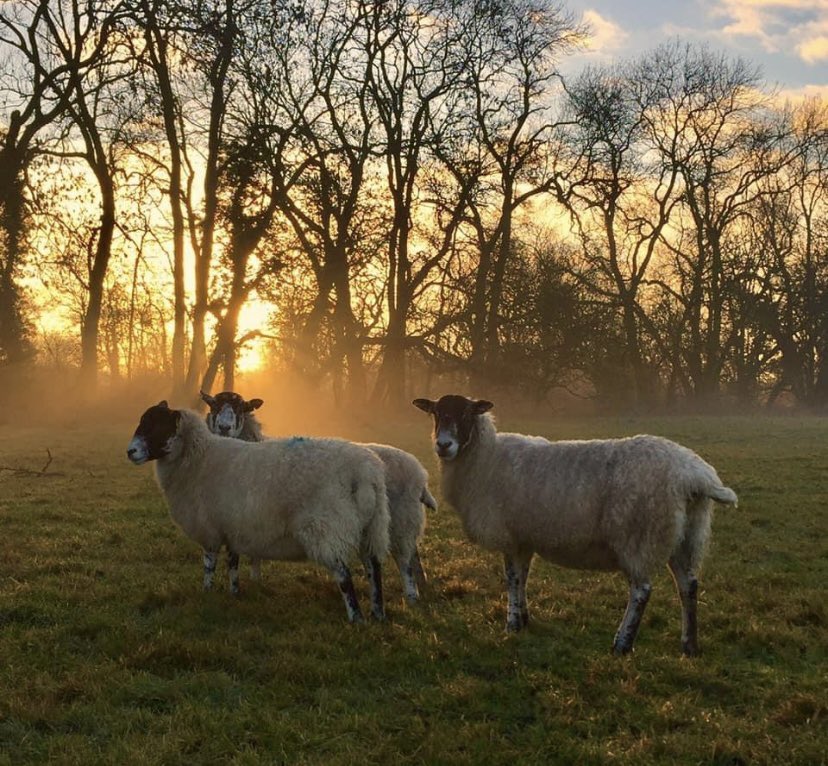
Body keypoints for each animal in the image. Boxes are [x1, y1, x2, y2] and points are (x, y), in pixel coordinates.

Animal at [126, 401, 390, 623]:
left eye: (158, 425)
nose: (130, 452)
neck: (198, 458)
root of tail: (367, 472)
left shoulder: (210, 530)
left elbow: (209, 565)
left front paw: (206, 593)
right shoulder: (233, 528)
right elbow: (233, 564)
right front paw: (234, 593)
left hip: (327, 527)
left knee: (344, 575)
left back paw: (356, 618)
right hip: (371, 527)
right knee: (373, 568)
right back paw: (377, 614)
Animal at [201, 389, 437, 602]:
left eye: (240, 408)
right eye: (213, 406)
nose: (224, 428)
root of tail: (420, 472)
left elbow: (233, 556)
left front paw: (235, 589)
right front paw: (254, 580)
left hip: (402, 519)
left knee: (404, 559)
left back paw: (412, 595)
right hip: (400, 521)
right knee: (413, 555)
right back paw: (423, 586)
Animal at [413, 394, 738, 655]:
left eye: (467, 414)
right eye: (436, 413)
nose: (443, 445)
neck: (486, 458)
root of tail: (694, 474)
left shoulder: (511, 535)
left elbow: (512, 579)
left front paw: (512, 623)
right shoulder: (525, 537)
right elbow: (524, 577)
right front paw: (525, 618)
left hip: (640, 534)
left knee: (642, 590)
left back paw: (622, 643)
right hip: (685, 536)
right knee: (689, 585)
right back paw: (689, 645)